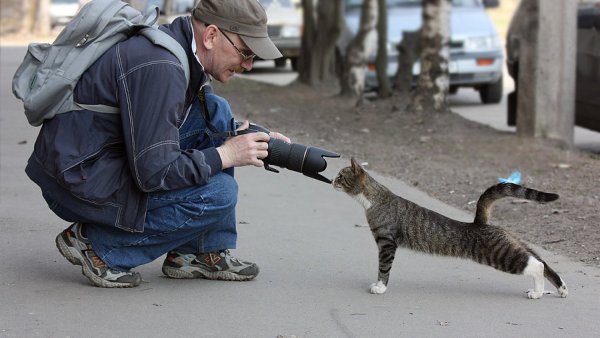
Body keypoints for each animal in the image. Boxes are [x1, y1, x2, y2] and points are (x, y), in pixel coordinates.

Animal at [332, 158, 568, 298]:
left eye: (341, 176)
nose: (332, 181)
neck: (375, 199)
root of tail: (480, 223)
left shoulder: (387, 243)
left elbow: (383, 268)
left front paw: (380, 287)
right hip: (514, 244)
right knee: (542, 262)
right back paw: (561, 289)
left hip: (500, 254)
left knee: (536, 266)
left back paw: (537, 293)